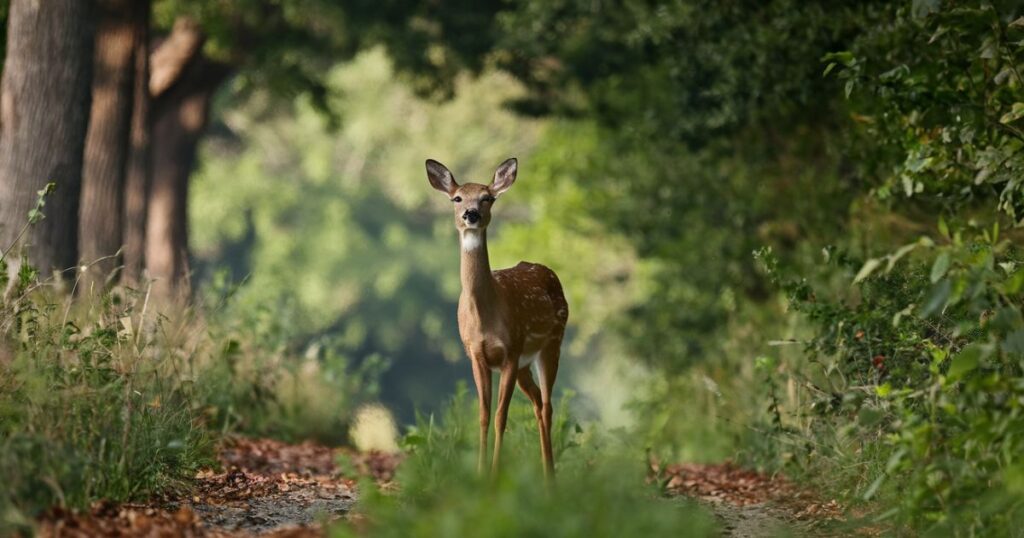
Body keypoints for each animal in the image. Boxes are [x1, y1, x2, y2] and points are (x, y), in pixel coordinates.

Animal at [423, 157, 569, 475]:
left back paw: (551, 476)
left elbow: (502, 416)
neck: (485, 317)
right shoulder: (476, 354)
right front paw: (480, 473)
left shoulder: (511, 351)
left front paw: (494, 474)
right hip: (526, 363)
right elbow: (484, 415)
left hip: (551, 343)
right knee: (537, 402)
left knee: (548, 405)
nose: (471, 214)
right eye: (457, 198)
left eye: (487, 197)